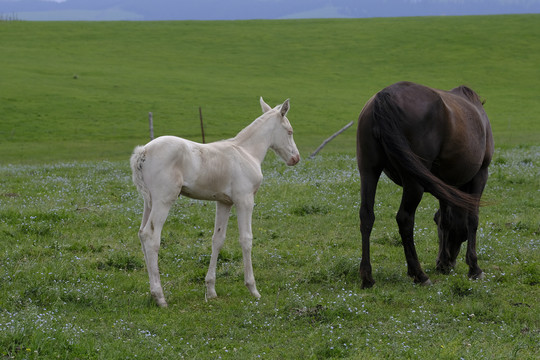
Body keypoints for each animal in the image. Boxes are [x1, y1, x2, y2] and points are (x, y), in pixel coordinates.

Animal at [131, 98, 300, 306]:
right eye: (290, 131)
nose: (295, 158)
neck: (246, 152)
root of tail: (143, 151)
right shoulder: (244, 200)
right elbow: (246, 239)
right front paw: (253, 289)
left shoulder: (224, 202)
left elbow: (217, 240)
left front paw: (211, 290)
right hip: (164, 200)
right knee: (151, 236)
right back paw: (160, 297)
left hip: (149, 201)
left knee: (141, 234)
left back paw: (152, 293)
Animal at [356, 81, 496, 286]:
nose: (450, 262)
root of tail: (383, 97)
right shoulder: (481, 174)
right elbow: (472, 218)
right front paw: (474, 268)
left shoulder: (444, 182)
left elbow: (445, 218)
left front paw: (443, 262)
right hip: (413, 182)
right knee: (405, 219)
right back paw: (419, 274)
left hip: (368, 170)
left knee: (366, 215)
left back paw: (367, 276)